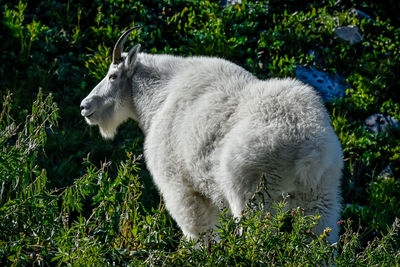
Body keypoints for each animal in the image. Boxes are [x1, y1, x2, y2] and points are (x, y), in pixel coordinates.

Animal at [79, 28, 342, 244]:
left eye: (112, 76)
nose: (85, 106)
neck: (160, 95)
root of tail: (312, 152)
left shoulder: (180, 186)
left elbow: (197, 233)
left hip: (255, 194)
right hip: (321, 195)